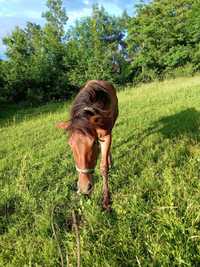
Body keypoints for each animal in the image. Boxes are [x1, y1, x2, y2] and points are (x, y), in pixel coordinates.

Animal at [57, 79, 118, 211]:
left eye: (93, 142)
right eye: (70, 145)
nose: (85, 188)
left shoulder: (106, 136)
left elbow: (103, 167)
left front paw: (106, 200)